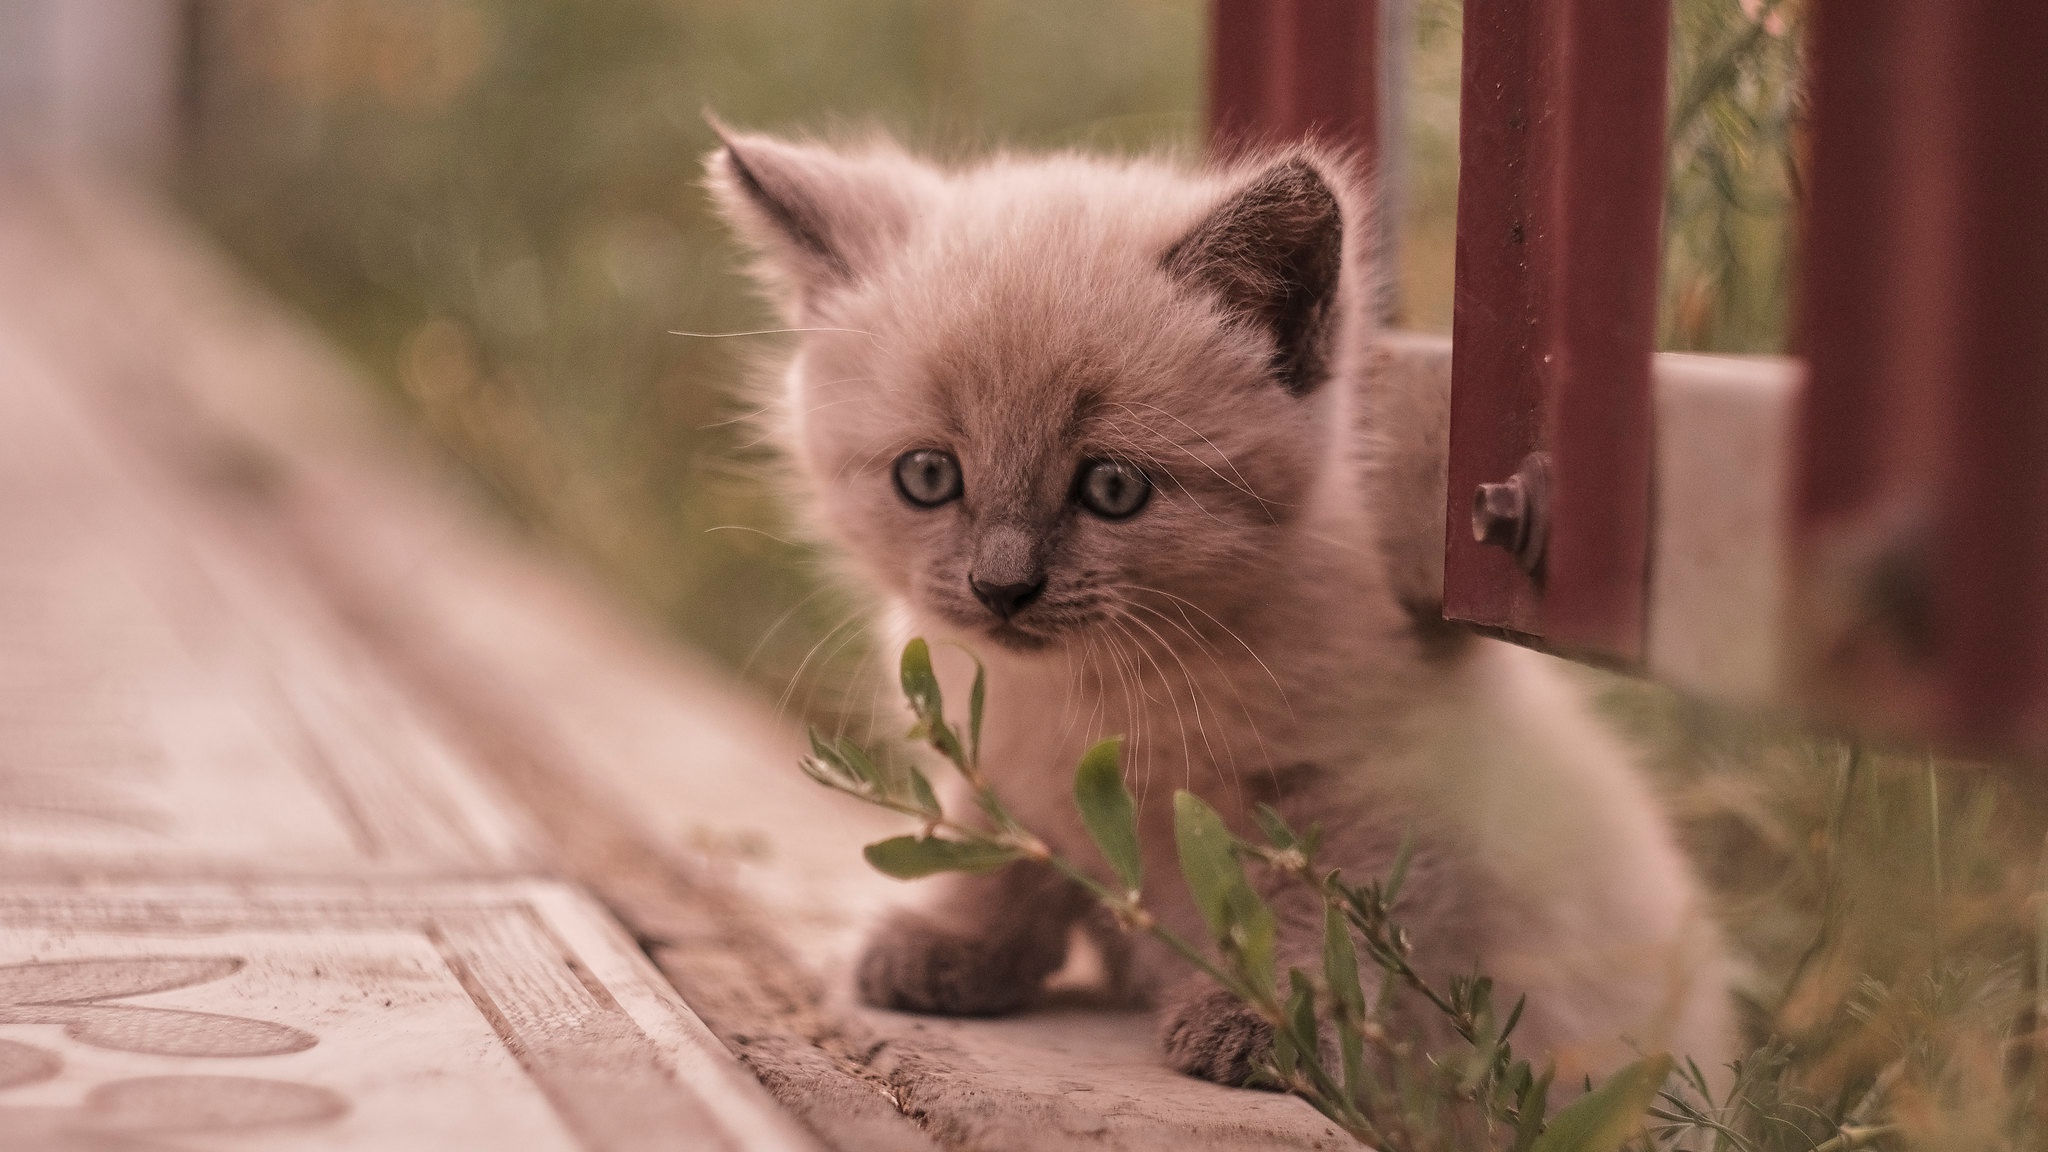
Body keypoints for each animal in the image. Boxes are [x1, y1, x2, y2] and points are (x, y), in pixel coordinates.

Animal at [704, 127, 1728, 1090]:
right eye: (927, 476)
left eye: (1113, 488)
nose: (1003, 586)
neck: (1094, 696)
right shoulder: (991, 761)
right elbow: (997, 847)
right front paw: (952, 945)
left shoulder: (1364, 792)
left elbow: (1312, 919)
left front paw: (1271, 1027)